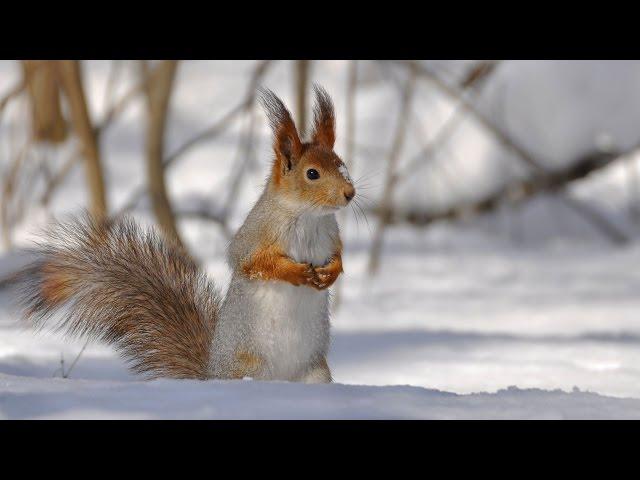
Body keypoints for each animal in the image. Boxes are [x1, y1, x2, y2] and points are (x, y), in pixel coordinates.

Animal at [16, 86, 356, 384]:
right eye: (312, 173)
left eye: (342, 165)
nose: (350, 193)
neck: (309, 217)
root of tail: (212, 375)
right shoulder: (255, 234)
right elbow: (251, 262)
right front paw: (296, 272)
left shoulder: (331, 235)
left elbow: (338, 256)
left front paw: (330, 273)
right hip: (250, 366)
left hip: (315, 372)